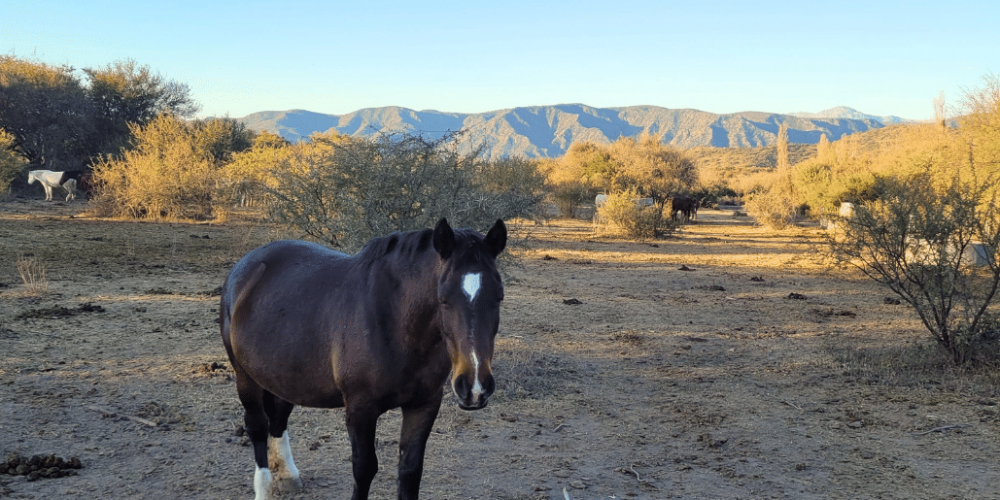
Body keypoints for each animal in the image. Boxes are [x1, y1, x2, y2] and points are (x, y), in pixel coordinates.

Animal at [224, 220, 512, 500]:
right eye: (443, 299)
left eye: (498, 297)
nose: (475, 387)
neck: (392, 322)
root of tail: (248, 264)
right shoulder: (360, 409)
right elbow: (364, 469)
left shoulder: (424, 404)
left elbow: (410, 469)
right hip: (245, 377)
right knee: (257, 426)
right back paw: (264, 489)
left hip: (282, 375)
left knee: (279, 417)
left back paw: (288, 475)